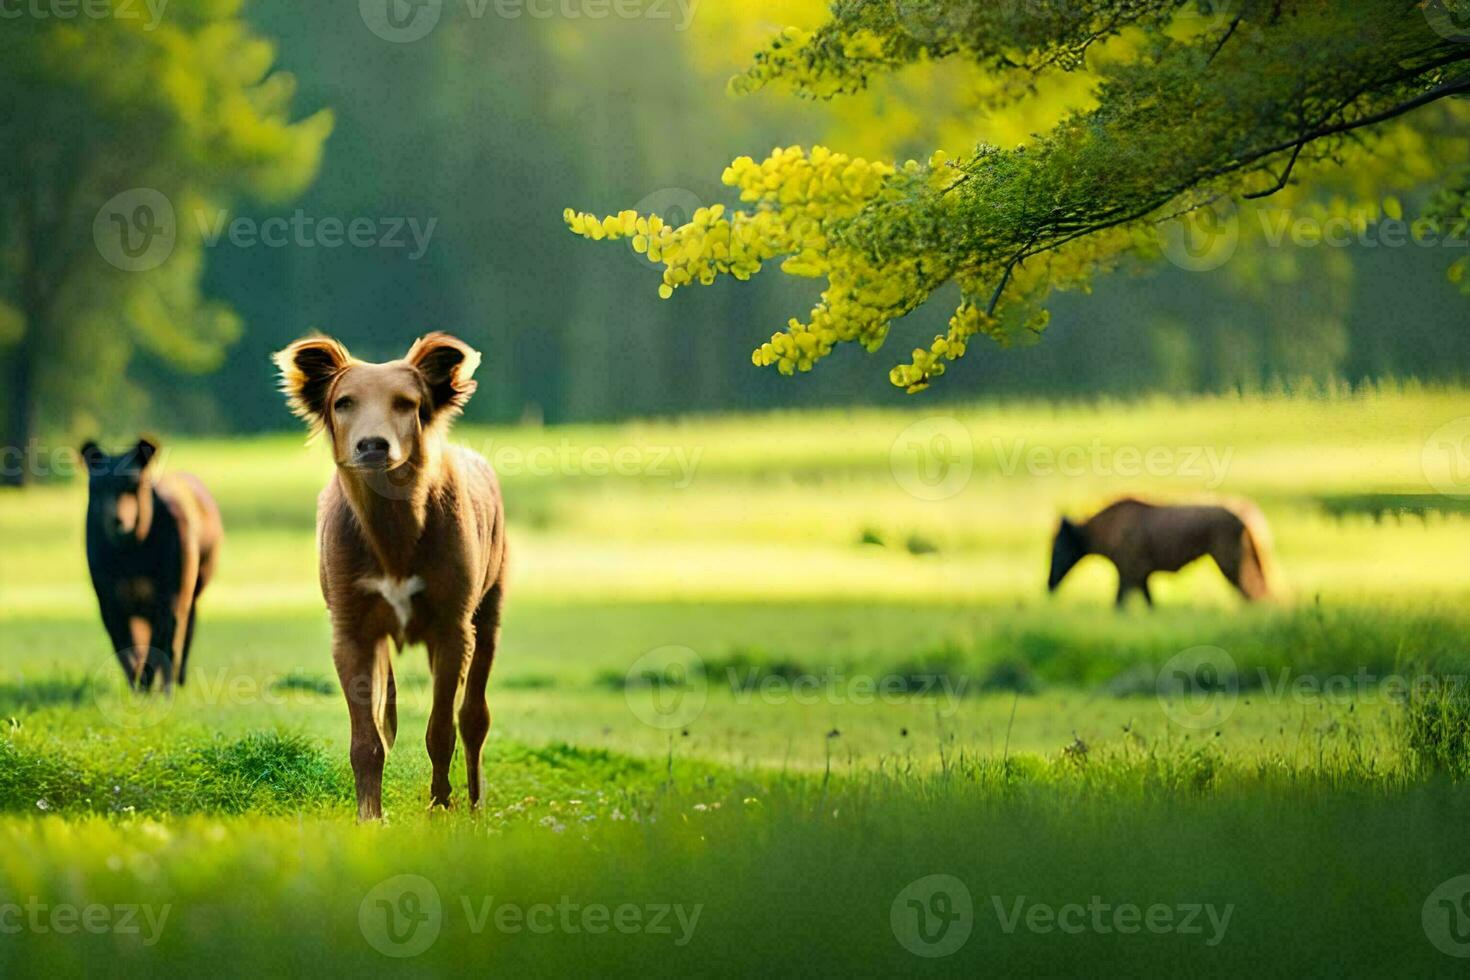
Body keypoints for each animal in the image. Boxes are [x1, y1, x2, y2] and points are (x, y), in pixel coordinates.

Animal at [273, 332, 508, 822]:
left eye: (406, 402)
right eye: (343, 402)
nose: (373, 445)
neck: (392, 536)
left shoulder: (453, 626)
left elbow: (442, 729)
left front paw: (440, 807)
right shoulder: (351, 627)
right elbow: (368, 739)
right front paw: (370, 817)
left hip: (491, 603)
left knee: (474, 716)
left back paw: (475, 803)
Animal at [1046, 499, 1275, 605]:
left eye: (1058, 547)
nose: (1048, 584)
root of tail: (1246, 518)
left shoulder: (1128, 574)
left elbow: (1119, 604)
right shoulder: (1141, 577)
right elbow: (1150, 604)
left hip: (1231, 562)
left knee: (1252, 590)